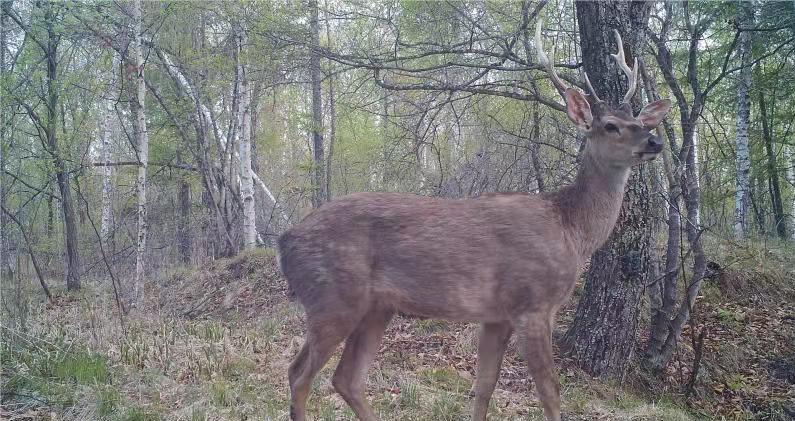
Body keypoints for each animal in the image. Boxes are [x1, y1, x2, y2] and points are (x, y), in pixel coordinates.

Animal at [278, 22, 672, 420]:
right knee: (299, 375)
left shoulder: (496, 315)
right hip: (333, 297)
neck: (571, 231)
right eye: (610, 125)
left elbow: (484, 386)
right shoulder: (532, 303)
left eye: (639, 120)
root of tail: (285, 239)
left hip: (376, 307)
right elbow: (550, 391)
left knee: (346, 378)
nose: (655, 141)